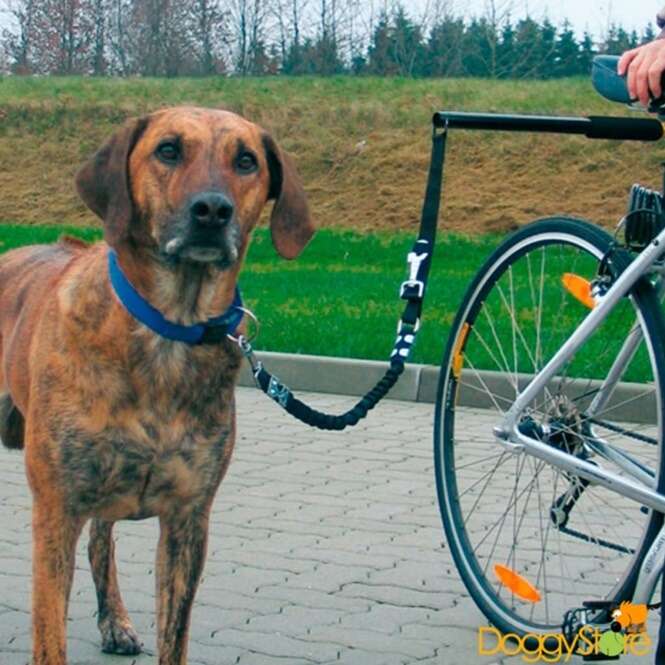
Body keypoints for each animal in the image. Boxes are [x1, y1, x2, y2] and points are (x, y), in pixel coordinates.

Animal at [0, 106, 314, 660]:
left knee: (101, 541)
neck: (169, 331)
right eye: (168, 150)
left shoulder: (189, 519)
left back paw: (115, 622)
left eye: (246, 161)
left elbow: (176, 633)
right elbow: (49, 633)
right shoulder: (56, 508)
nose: (212, 210)